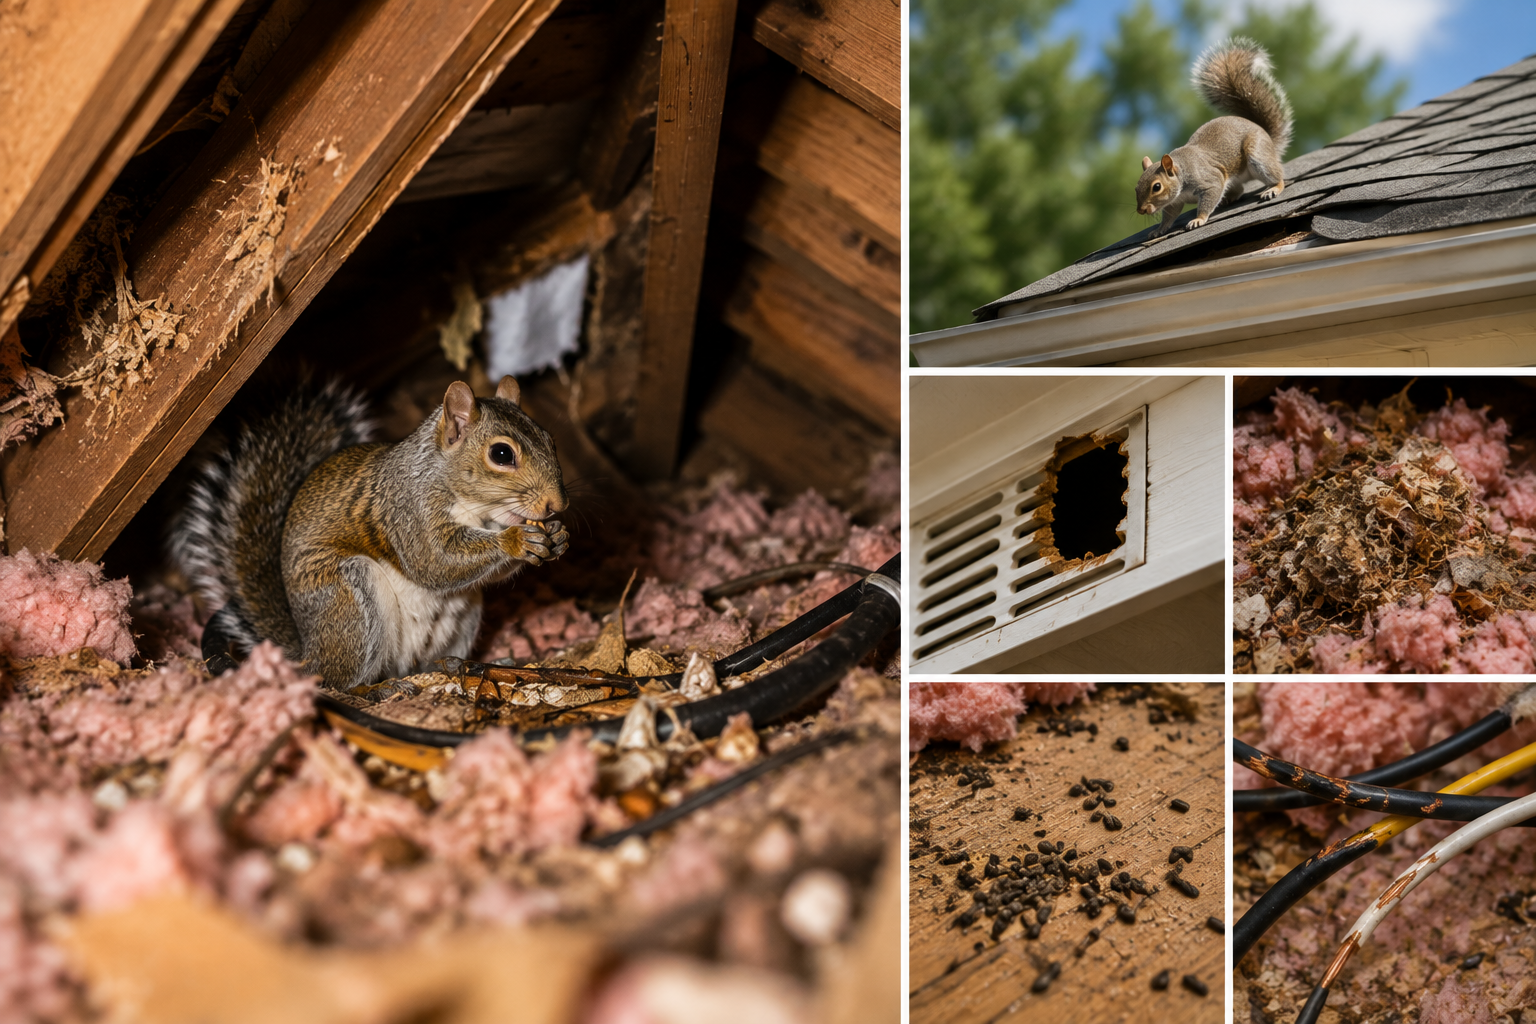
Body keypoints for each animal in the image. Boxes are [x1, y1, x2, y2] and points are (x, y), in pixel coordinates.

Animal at [170, 375, 569, 688]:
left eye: (550, 439)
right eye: (501, 454)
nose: (557, 504)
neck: (482, 513)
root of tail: (307, 653)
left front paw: (558, 535)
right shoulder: (407, 512)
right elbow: (434, 561)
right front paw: (515, 540)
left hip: (464, 615)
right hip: (350, 602)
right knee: (337, 682)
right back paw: (376, 688)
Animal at [1135, 36, 1294, 238]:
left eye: (1157, 187)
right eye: (1136, 187)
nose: (1141, 210)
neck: (1181, 173)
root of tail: (1267, 137)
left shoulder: (1210, 181)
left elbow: (1208, 199)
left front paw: (1198, 219)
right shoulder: (1175, 201)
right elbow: (1170, 215)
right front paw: (1159, 230)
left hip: (1257, 154)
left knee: (1277, 175)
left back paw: (1273, 188)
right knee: (1239, 188)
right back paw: (1229, 199)